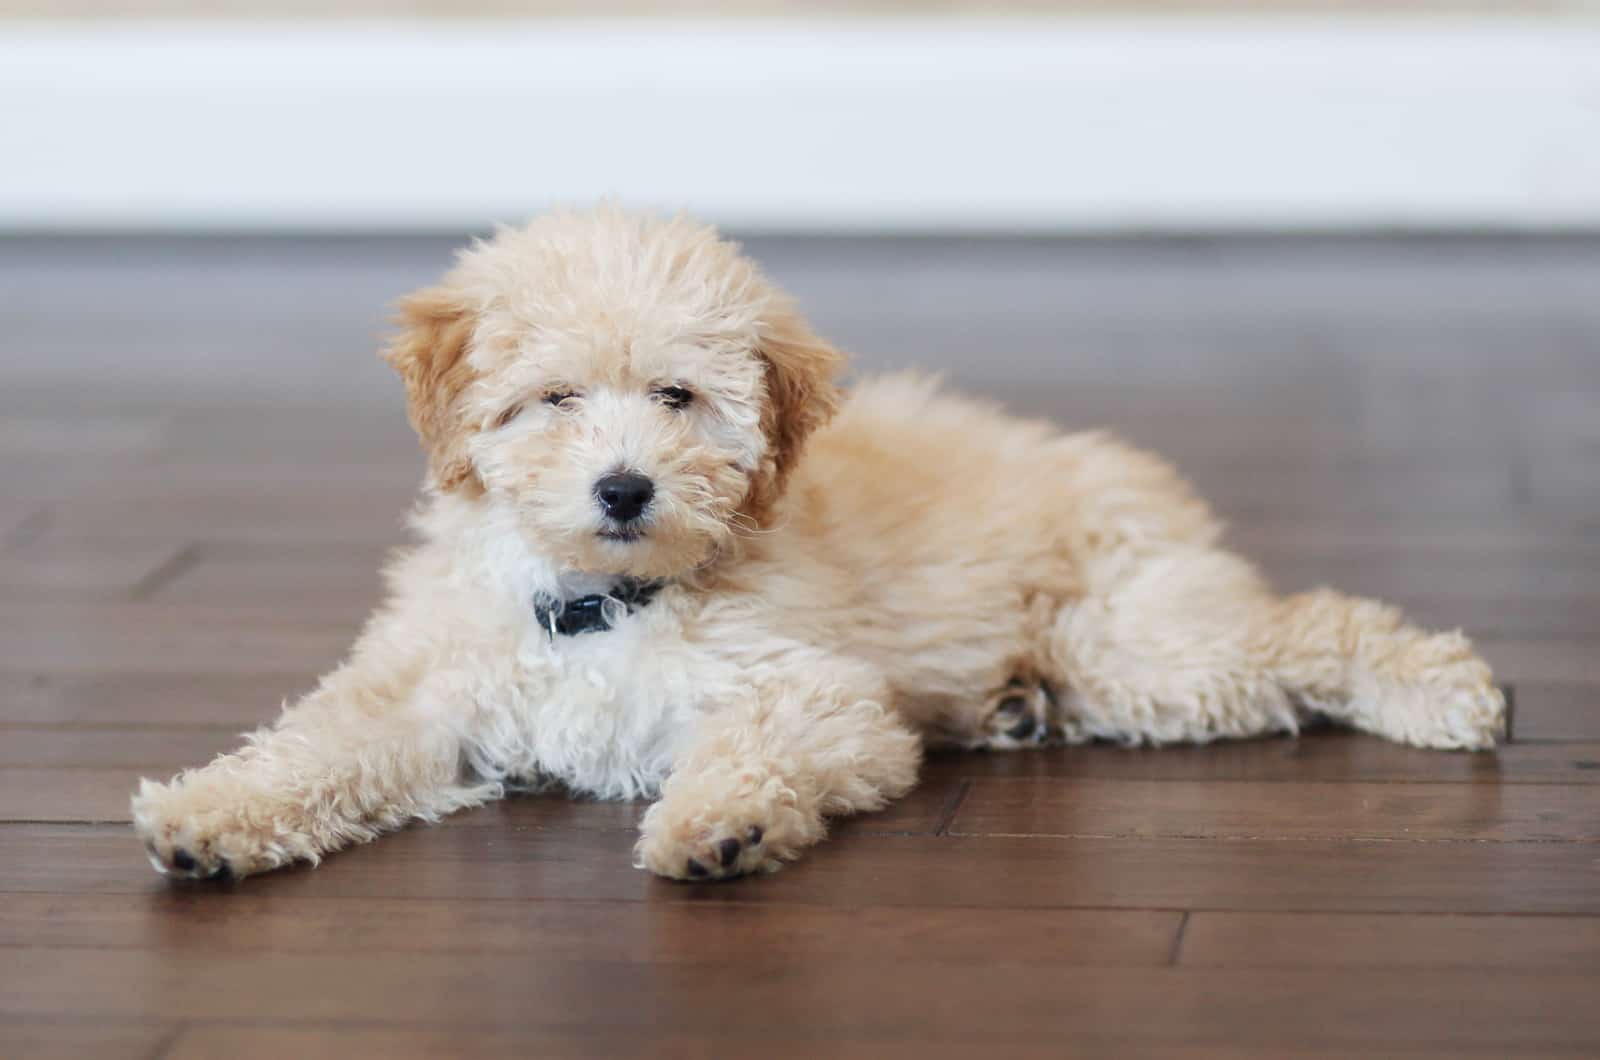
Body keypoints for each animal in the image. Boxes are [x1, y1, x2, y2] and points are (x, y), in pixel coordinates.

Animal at [131, 204, 1504, 877]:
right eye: (554, 398)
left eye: (678, 396)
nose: (623, 488)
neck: (605, 599)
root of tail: (1117, 459)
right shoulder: (425, 686)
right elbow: (323, 744)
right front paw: (208, 815)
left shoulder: (819, 692)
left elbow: (761, 744)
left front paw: (717, 828)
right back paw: (1013, 709)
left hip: (1137, 643)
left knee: (1311, 626)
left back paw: (1445, 690)